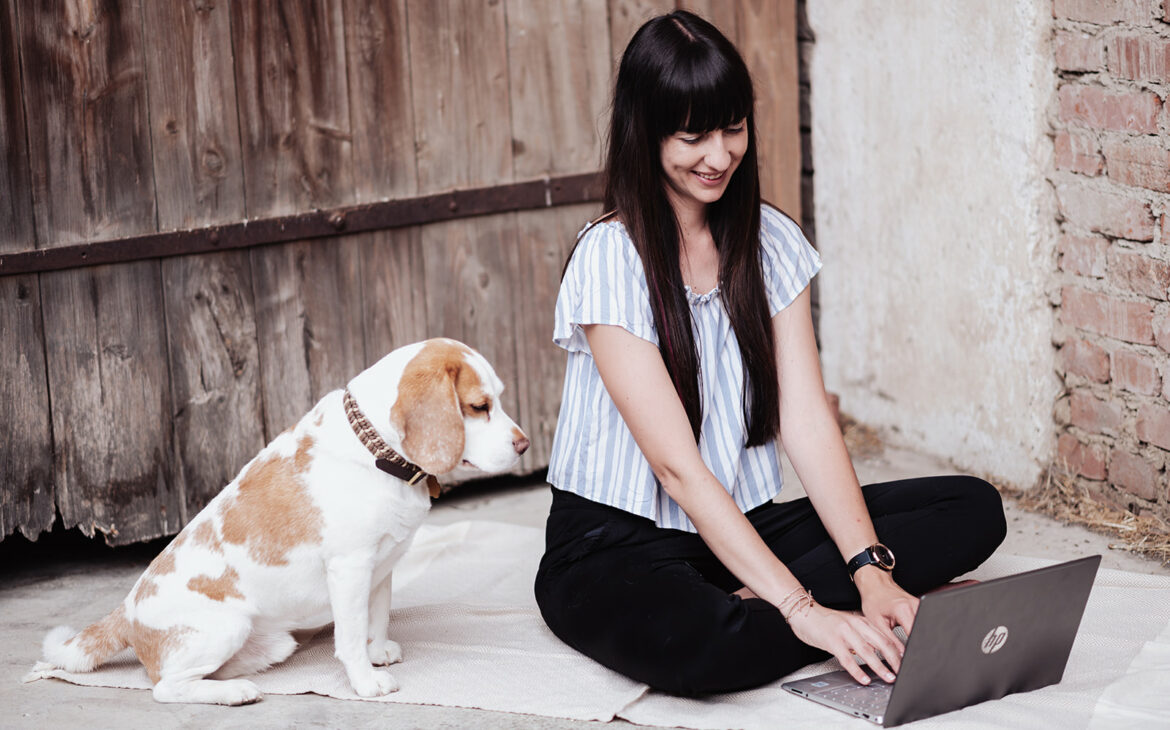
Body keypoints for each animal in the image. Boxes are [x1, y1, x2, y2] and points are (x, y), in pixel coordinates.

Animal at [37, 339, 531, 706]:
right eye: (479, 406)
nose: (525, 446)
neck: (378, 452)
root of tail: (126, 611)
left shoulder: (380, 567)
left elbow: (376, 619)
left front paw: (378, 653)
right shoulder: (351, 568)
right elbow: (351, 634)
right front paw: (366, 681)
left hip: (271, 643)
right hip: (225, 628)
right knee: (164, 688)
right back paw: (234, 693)